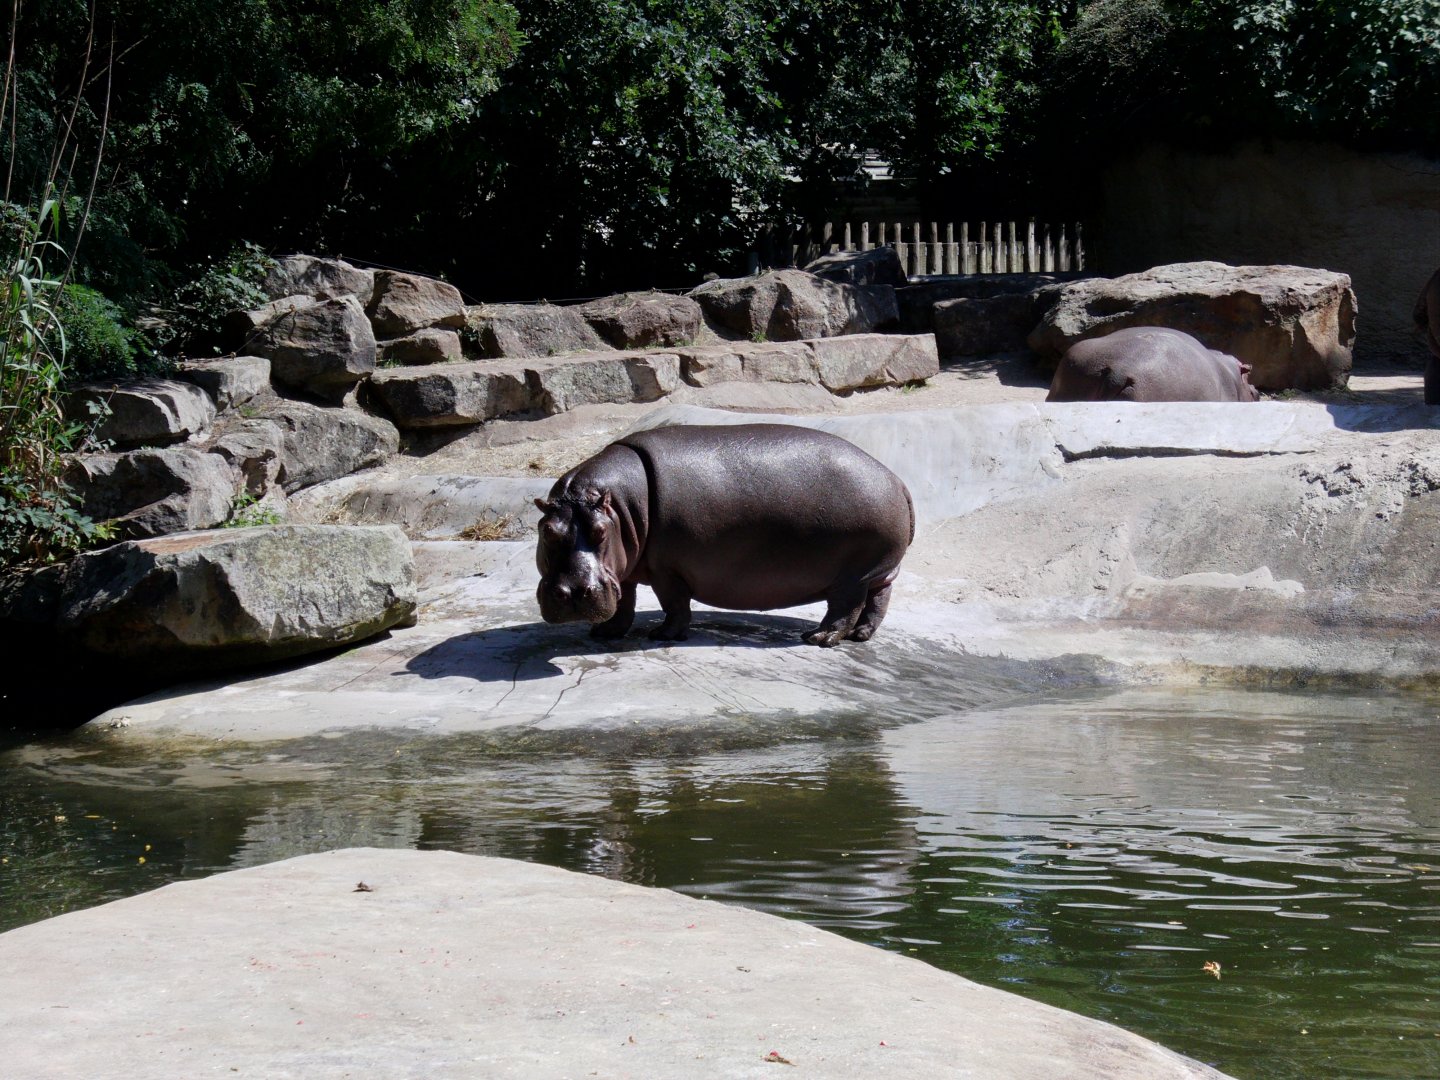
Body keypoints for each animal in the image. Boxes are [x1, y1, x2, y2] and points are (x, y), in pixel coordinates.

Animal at [534, 423, 914, 647]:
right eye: (547, 531)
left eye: (600, 531)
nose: (572, 594)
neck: (619, 507)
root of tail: (897, 480)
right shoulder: (622, 570)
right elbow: (624, 601)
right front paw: (605, 632)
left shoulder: (666, 570)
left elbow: (674, 604)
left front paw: (662, 635)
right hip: (877, 570)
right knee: (878, 599)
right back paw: (861, 636)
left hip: (853, 573)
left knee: (846, 606)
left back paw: (820, 637)